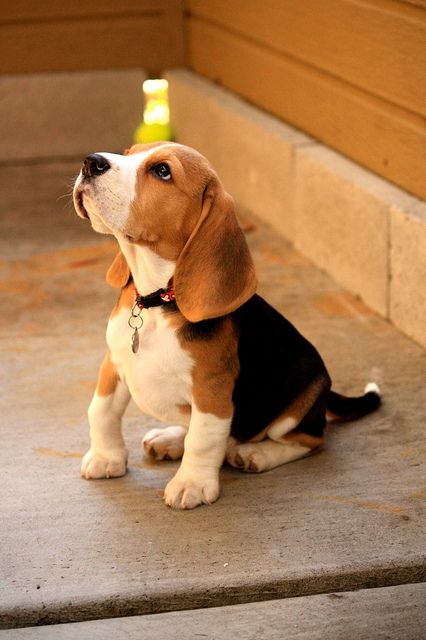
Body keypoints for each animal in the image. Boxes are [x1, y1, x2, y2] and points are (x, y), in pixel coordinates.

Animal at [71, 144, 382, 510]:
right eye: (128, 152)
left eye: (162, 171)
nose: (91, 162)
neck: (158, 301)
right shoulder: (115, 363)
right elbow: (101, 411)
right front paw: (106, 458)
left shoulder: (212, 388)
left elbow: (203, 439)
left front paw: (191, 483)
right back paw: (170, 439)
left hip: (300, 403)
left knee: (310, 439)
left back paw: (256, 453)